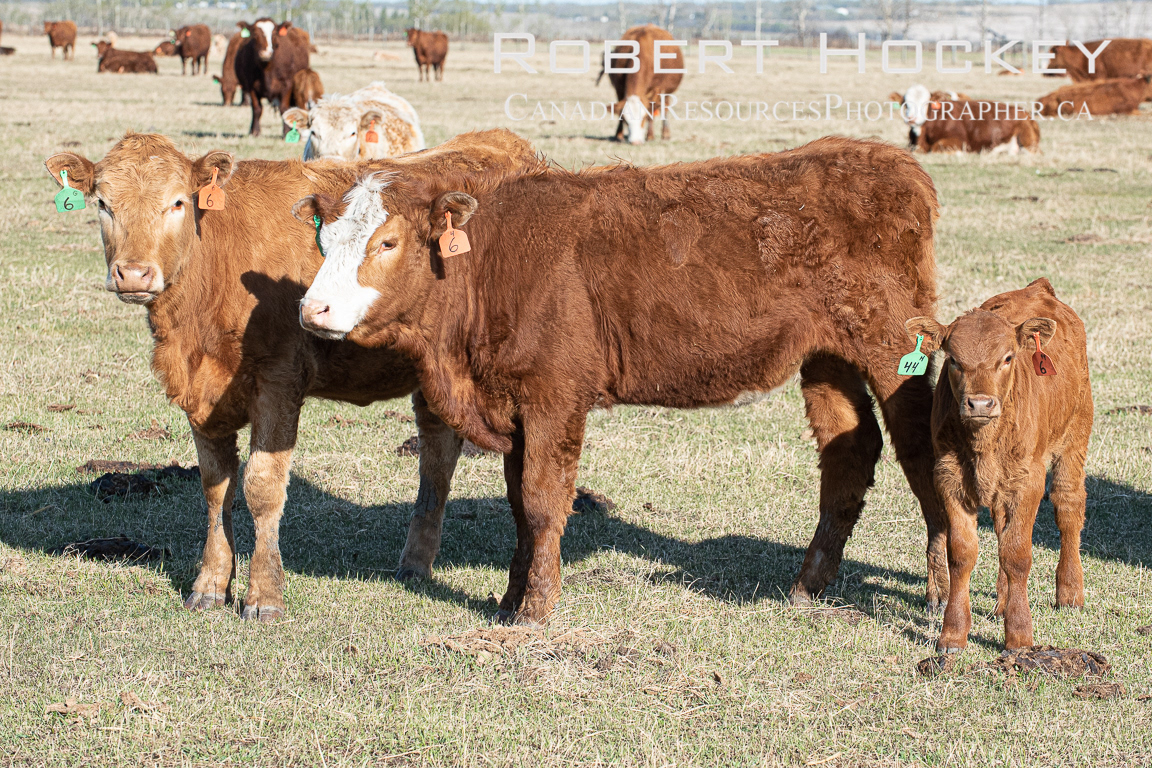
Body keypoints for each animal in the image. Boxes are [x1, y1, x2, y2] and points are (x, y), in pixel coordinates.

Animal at [44, 129, 541, 622]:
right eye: (103, 203)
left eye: (178, 202)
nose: (133, 274)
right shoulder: (202, 394)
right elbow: (215, 486)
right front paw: (209, 585)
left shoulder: (278, 382)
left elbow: (262, 487)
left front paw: (264, 595)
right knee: (437, 454)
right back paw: (414, 565)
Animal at [294, 137, 951, 625]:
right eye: (326, 238)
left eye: (387, 241)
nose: (312, 309)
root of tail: (890, 160)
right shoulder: (515, 405)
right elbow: (519, 504)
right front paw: (509, 599)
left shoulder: (555, 397)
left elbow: (542, 501)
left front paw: (535, 612)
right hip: (827, 358)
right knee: (851, 450)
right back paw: (807, 586)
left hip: (893, 350)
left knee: (921, 453)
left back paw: (940, 593)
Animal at [905, 278, 1092, 652]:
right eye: (953, 360)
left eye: (1007, 358)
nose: (980, 403)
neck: (984, 444)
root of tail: (1038, 289)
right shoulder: (948, 477)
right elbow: (962, 553)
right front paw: (953, 633)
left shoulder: (1029, 480)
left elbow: (1017, 554)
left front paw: (1019, 635)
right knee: (1003, 527)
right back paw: (1003, 602)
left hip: (1075, 438)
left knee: (1068, 508)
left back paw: (1069, 593)